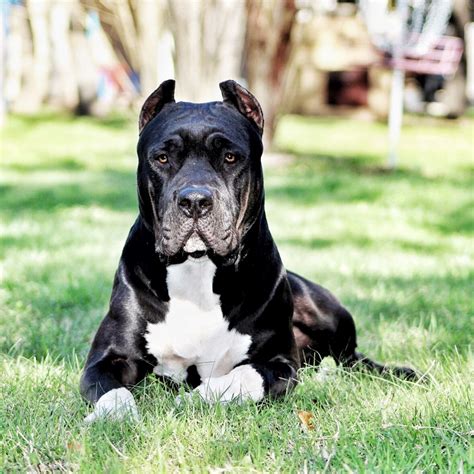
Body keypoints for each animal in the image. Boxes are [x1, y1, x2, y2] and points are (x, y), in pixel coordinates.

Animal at [80, 81, 414, 422]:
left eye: (230, 157)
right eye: (161, 158)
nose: (195, 200)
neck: (198, 271)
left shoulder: (280, 362)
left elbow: (244, 376)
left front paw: (195, 398)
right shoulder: (108, 358)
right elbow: (113, 392)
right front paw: (113, 417)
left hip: (324, 310)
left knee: (351, 358)